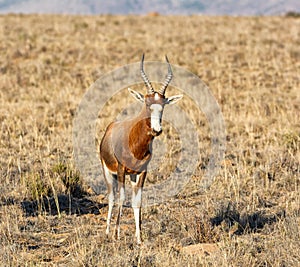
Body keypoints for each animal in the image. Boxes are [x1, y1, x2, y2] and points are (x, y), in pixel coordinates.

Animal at [99, 54, 183, 245]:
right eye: (146, 103)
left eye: (163, 104)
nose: (157, 129)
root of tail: (110, 127)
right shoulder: (121, 169)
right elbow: (121, 198)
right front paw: (117, 235)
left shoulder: (142, 172)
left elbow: (137, 201)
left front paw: (139, 238)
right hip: (109, 172)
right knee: (112, 197)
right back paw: (107, 232)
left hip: (132, 175)